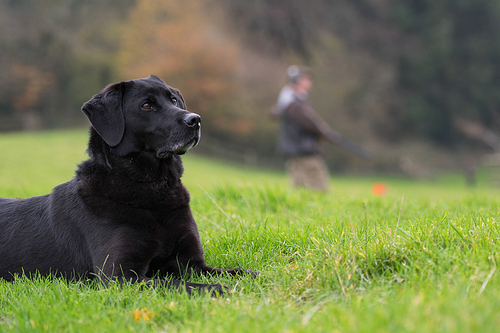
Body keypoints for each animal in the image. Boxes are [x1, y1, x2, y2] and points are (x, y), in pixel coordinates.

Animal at [0, 75, 256, 294]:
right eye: (146, 105)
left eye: (173, 100)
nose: (195, 120)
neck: (153, 188)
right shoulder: (120, 276)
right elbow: (179, 284)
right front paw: (220, 289)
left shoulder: (192, 263)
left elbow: (237, 272)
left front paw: (250, 276)